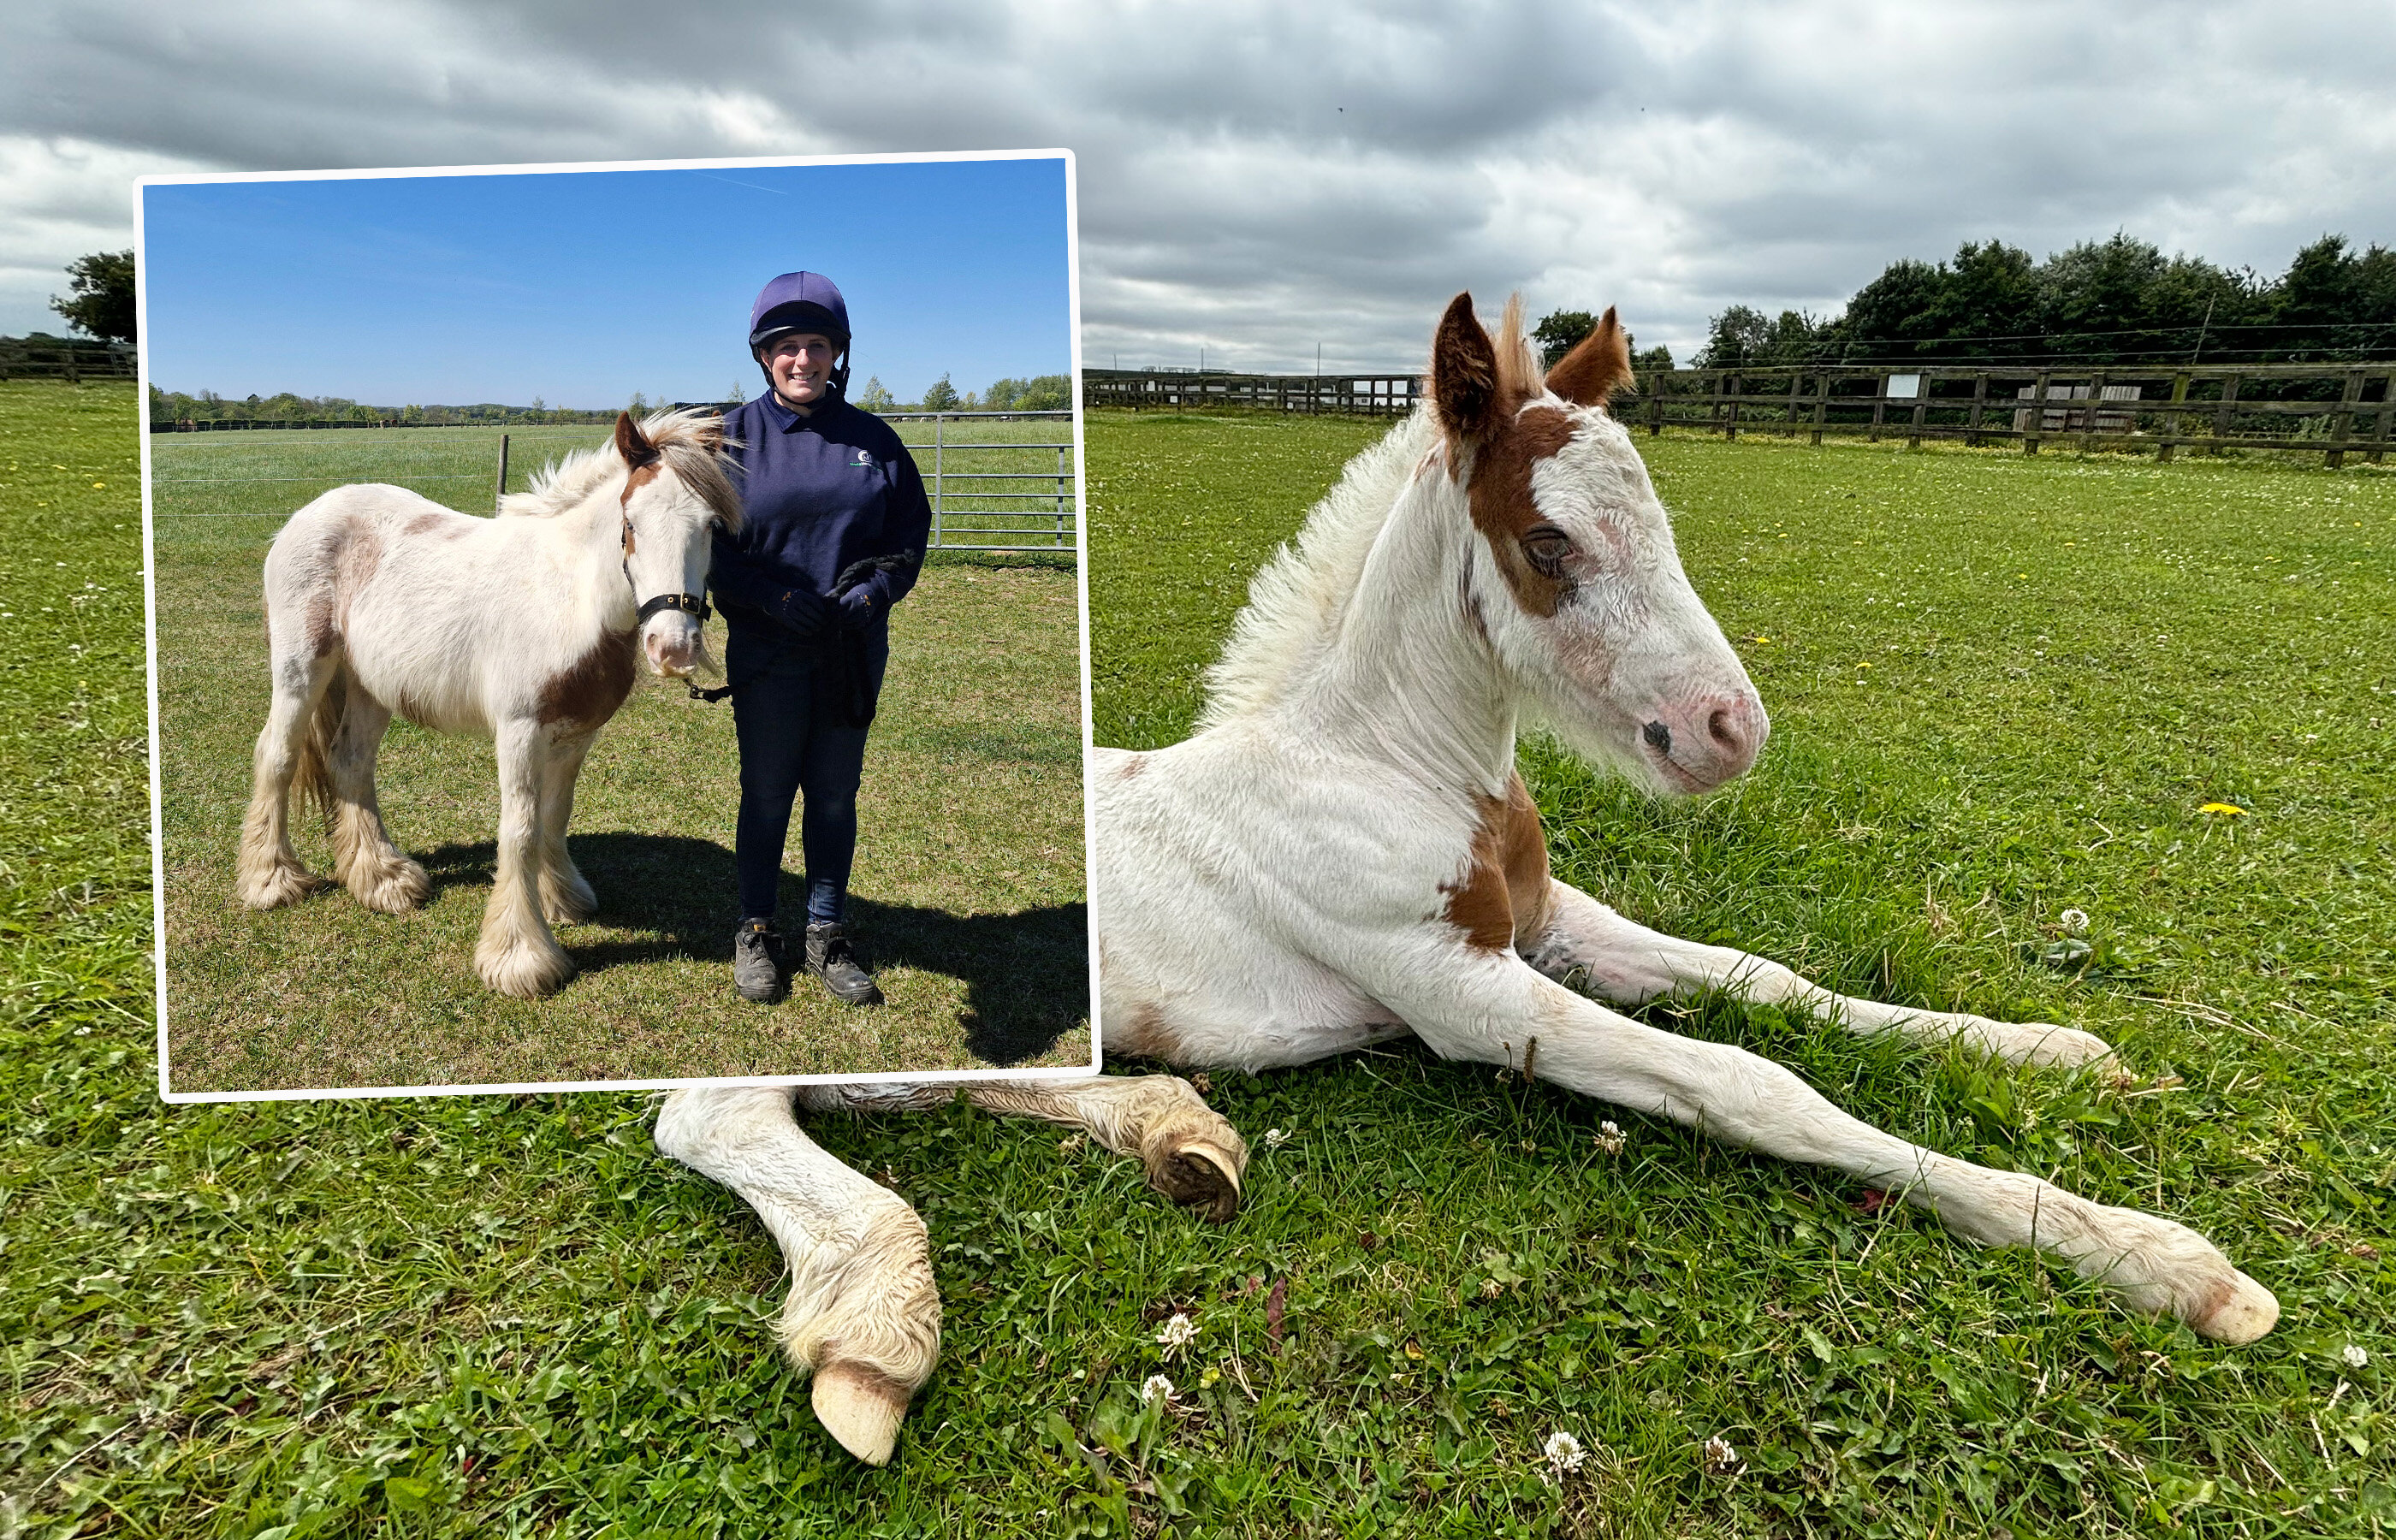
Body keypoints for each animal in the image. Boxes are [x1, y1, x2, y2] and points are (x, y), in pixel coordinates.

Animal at [235, 410, 738, 998]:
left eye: (712, 526)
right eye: (630, 522)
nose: (673, 648)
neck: (569, 597)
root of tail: (304, 517)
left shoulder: (576, 733)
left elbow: (554, 817)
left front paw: (562, 899)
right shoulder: (520, 730)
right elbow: (520, 829)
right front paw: (521, 957)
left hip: (370, 685)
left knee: (350, 762)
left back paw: (384, 879)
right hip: (302, 669)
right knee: (278, 755)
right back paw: (271, 880)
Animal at [653, 296, 2278, 1466]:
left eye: (1666, 523)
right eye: (1547, 541)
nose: (1728, 732)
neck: (1393, 765)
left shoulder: (1550, 926)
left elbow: (1772, 984)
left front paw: (2054, 1052)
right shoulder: (1463, 994)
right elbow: (1754, 1081)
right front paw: (2157, 1262)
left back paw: (1180, 1134)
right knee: (717, 1115)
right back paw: (878, 1332)